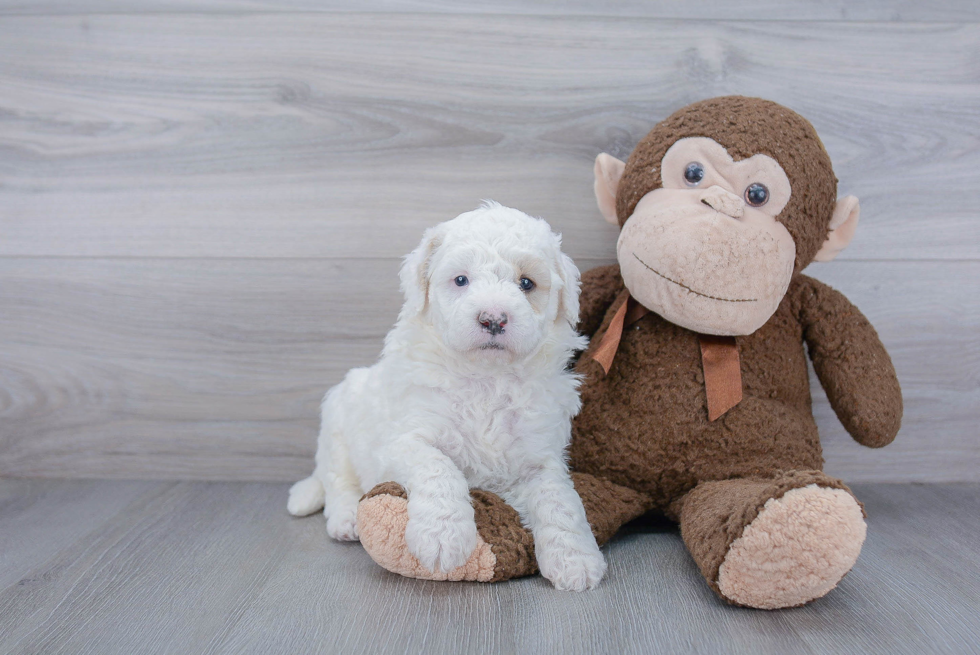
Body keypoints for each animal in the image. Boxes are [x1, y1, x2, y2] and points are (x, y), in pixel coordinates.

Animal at [286, 202, 604, 592]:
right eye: (461, 280)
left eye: (527, 283)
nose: (493, 318)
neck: (486, 379)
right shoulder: (405, 439)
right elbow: (439, 466)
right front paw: (442, 538)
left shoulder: (540, 456)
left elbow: (560, 500)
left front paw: (576, 559)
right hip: (337, 428)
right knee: (337, 481)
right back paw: (345, 519)